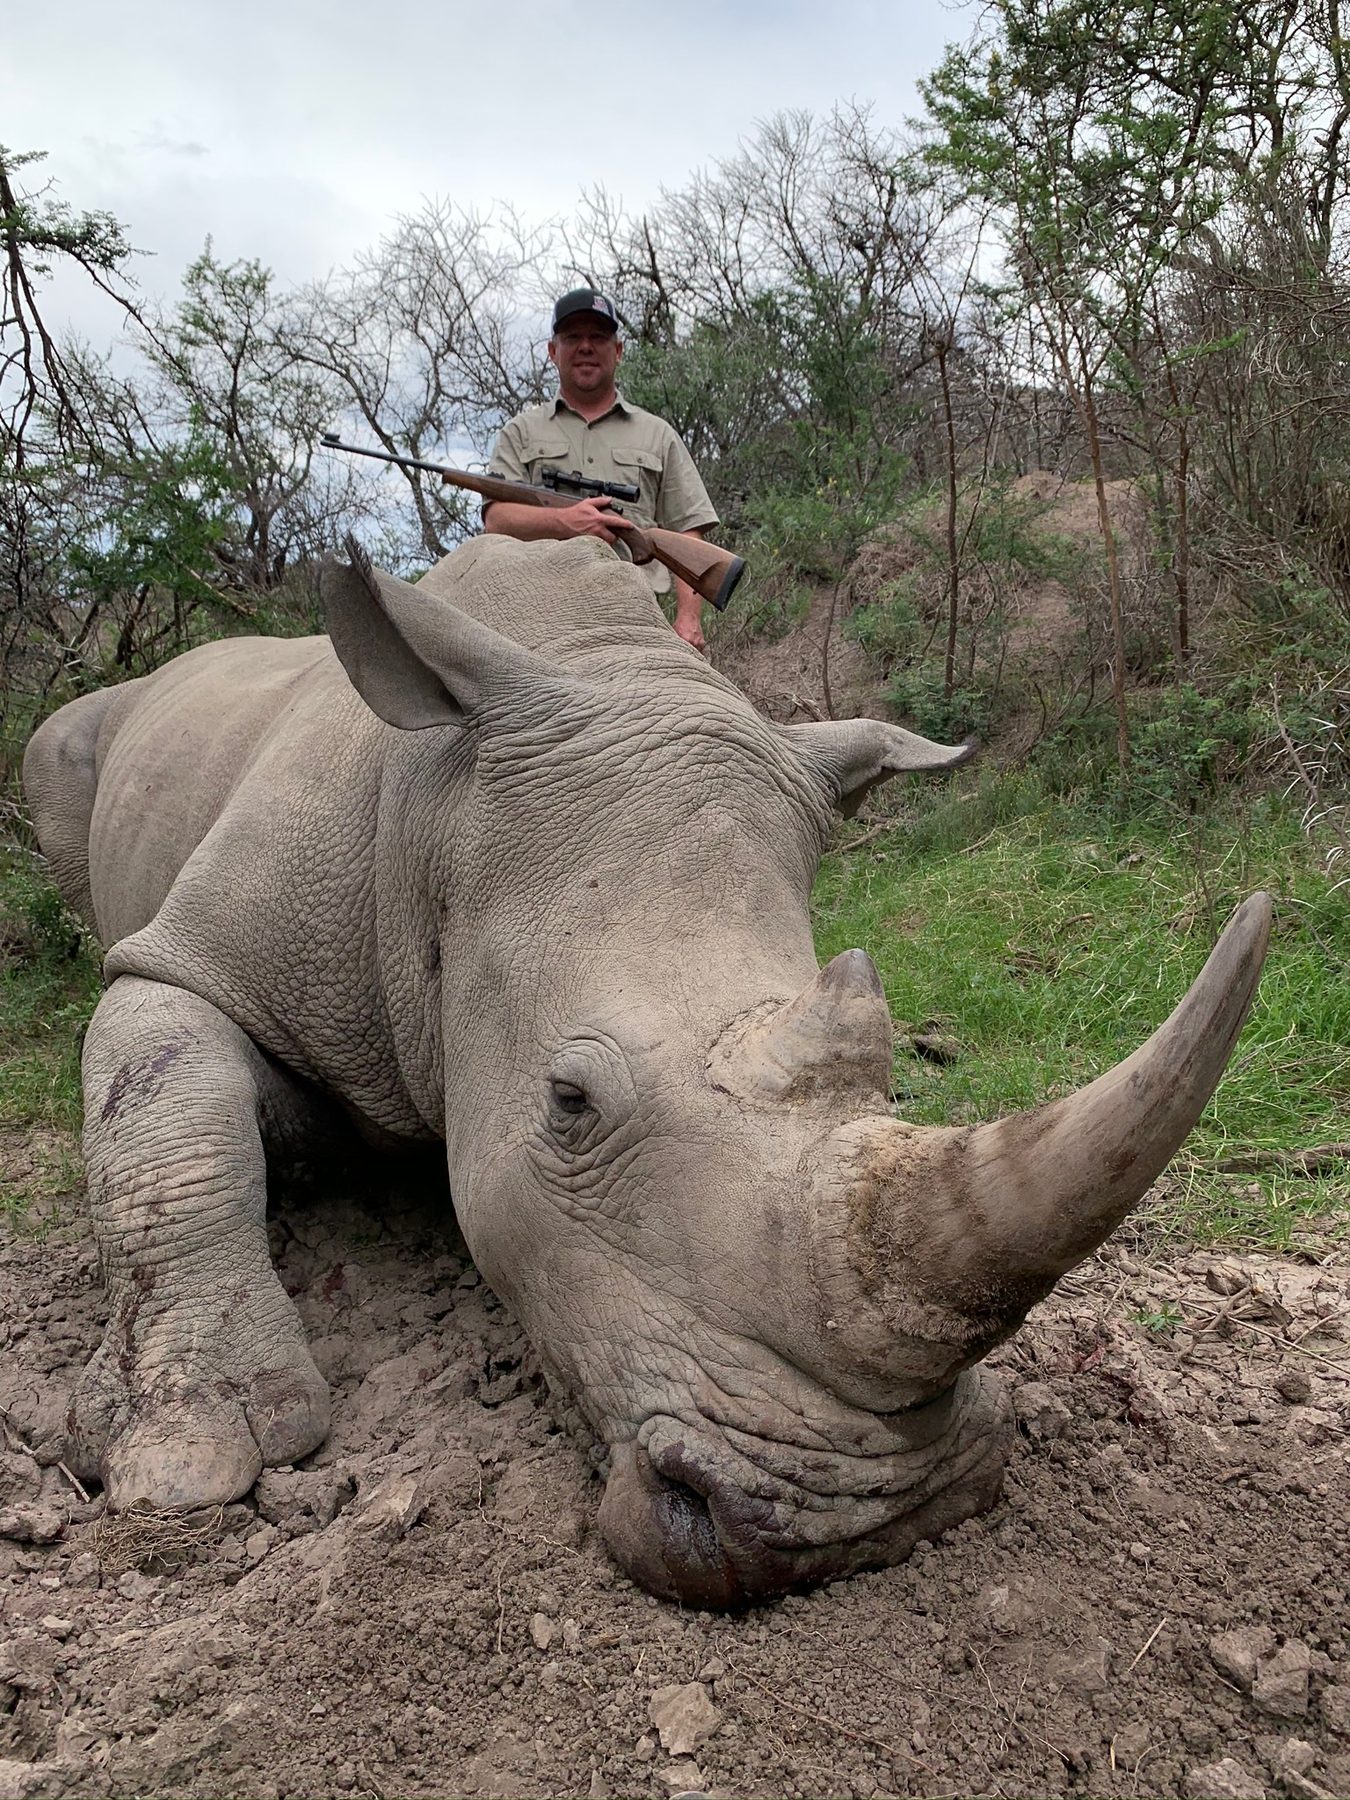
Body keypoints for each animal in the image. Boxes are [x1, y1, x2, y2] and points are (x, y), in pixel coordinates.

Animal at [22, 535, 1270, 1607]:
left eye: (891, 1081)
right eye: (568, 1104)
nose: (869, 1519)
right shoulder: (196, 957)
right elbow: (167, 1105)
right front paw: (191, 1453)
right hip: (80, 743)